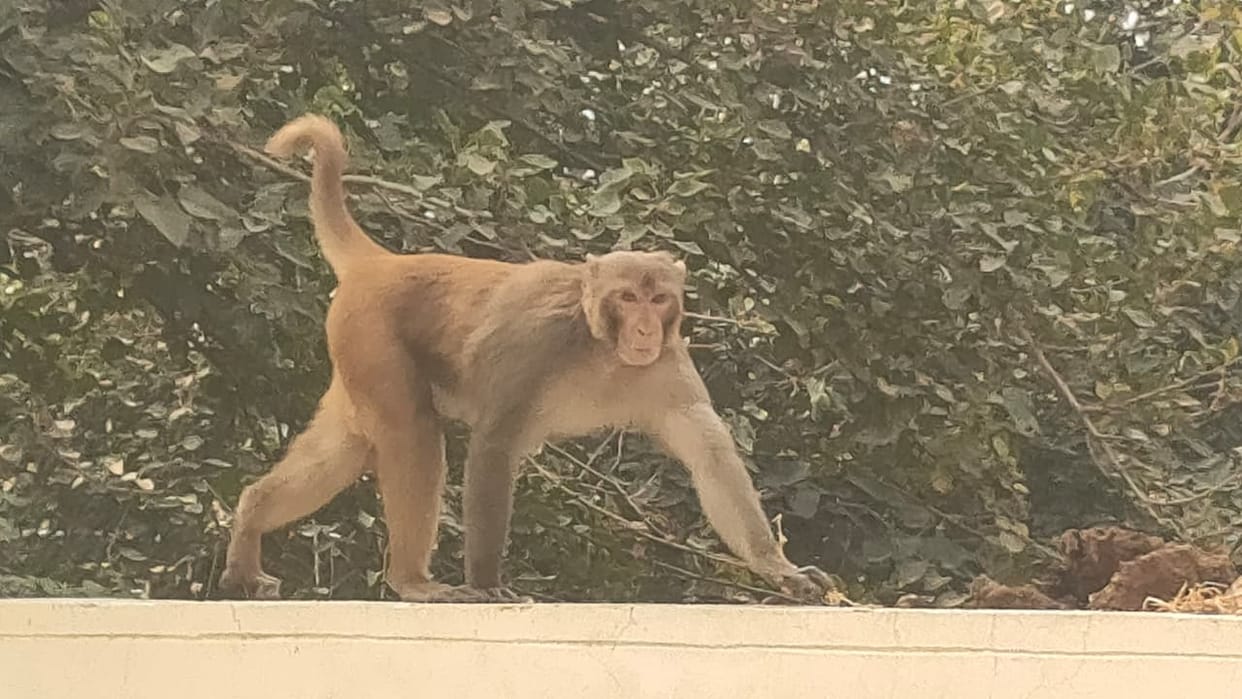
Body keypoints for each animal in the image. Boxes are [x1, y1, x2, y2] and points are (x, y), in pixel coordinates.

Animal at [217, 113, 832, 603]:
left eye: (659, 298)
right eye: (627, 296)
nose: (643, 328)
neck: (602, 349)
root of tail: (382, 263)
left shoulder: (667, 364)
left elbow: (707, 451)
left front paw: (777, 568)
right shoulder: (536, 341)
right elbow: (494, 444)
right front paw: (488, 584)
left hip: (353, 356)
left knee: (345, 448)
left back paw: (249, 522)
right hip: (370, 338)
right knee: (414, 432)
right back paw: (413, 581)